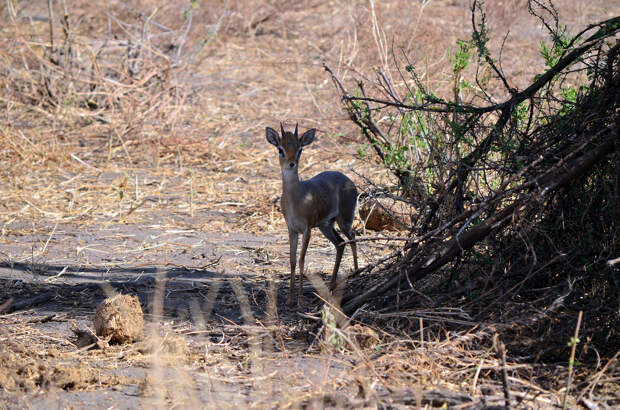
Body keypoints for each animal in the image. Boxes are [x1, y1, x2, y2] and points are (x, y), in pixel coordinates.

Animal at [266, 123, 358, 306]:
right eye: (280, 149)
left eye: (300, 149)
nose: (291, 163)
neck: (296, 198)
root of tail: (349, 181)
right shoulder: (292, 229)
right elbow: (292, 260)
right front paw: (290, 298)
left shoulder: (307, 229)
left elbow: (302, 260)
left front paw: (300, 299)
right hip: (326, 225)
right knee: (340, 243)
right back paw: (331, 285)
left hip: (344, 220)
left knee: (353, 238)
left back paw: (357, 273)